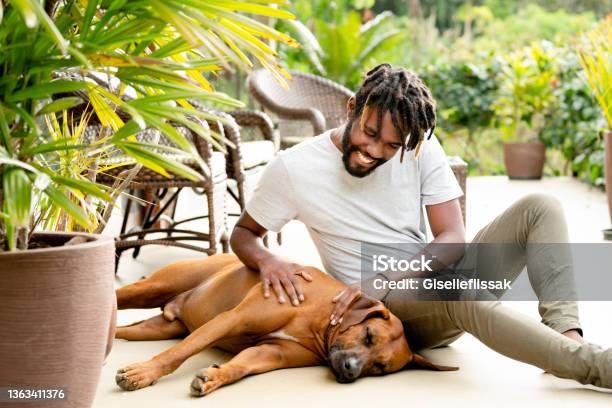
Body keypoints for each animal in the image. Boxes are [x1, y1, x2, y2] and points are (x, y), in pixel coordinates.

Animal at [113, 253, 454, 396]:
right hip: (152, 287)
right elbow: (177, 354)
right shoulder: (229, 320)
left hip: (154, 328)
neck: (316, 318)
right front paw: (143, 373)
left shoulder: (271, 353)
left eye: (380, 368)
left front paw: (214, 377)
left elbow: (241, 366)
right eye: (368, 334)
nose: (350, 371)